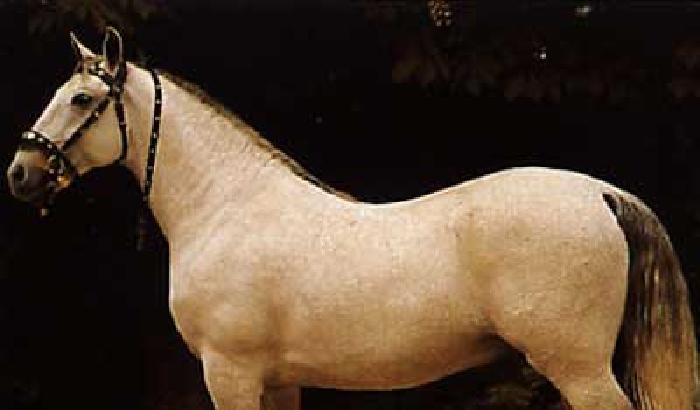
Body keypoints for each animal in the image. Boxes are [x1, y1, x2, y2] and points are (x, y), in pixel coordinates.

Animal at [6, 28, 696, 410]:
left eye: (82, 99)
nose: (20, 172)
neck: (227, 207)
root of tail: (601, 192)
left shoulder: (230, 374)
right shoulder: (277, 382)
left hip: (580, 371)